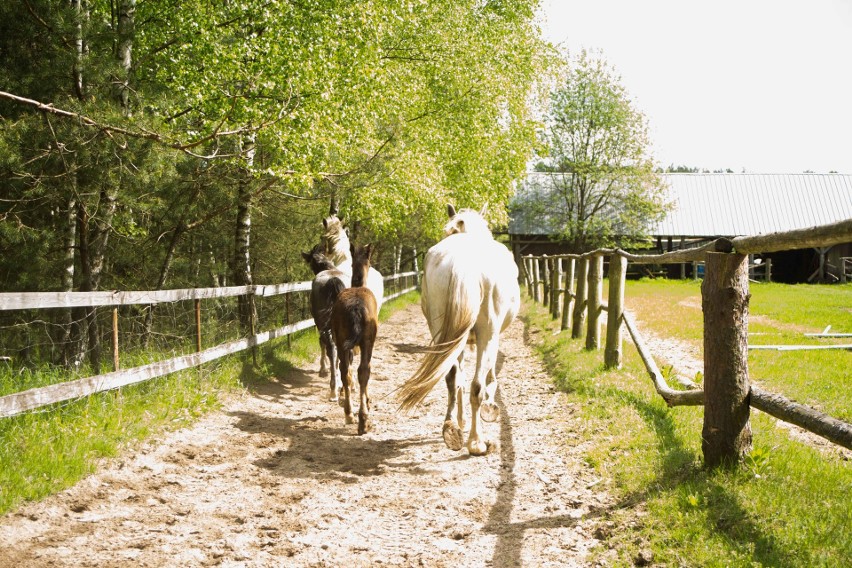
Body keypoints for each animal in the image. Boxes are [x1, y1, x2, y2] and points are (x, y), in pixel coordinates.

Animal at [398, 204, 520, 458]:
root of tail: (463, 262)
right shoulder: (491, 338)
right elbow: (488, 377)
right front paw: (490, 409)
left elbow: (459, 380)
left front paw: (461, 422)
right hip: (486, 335)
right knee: (476, 386)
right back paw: (476, 442)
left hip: (443, 335)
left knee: (451, 379)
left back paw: (451, 431)